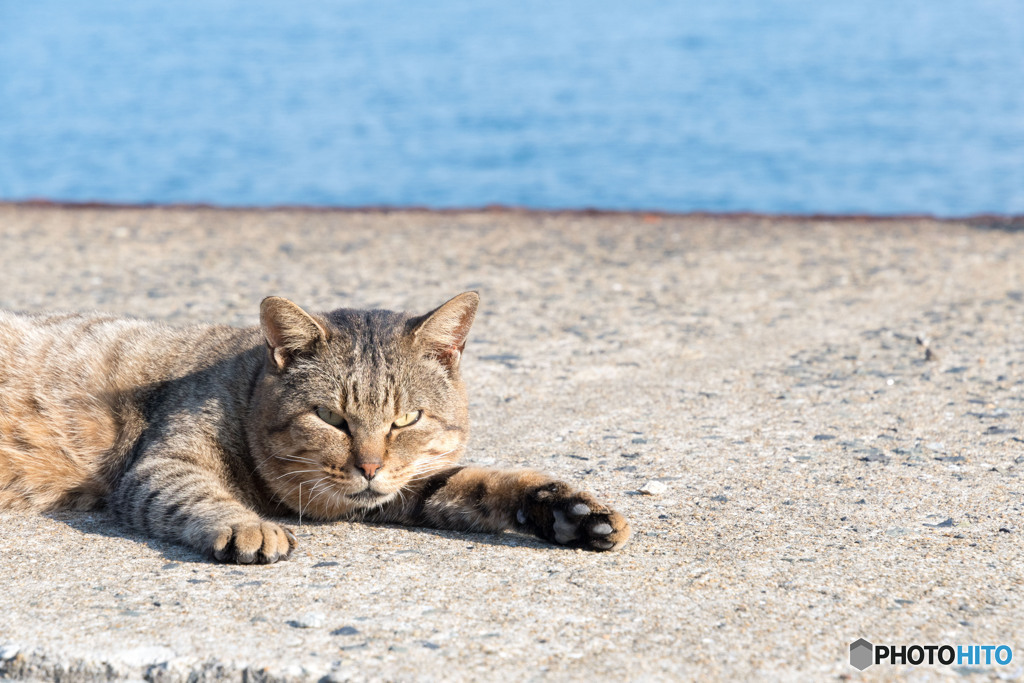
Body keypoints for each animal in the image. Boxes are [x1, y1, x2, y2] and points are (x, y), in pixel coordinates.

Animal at [0, 294, 626, 565]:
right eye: (331, 417)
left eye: (406, 419)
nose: (369, 466)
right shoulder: (164, 464)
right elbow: (198, 496)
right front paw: (248, 527)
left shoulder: (402, 487)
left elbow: (481, 483)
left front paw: (571, 512)